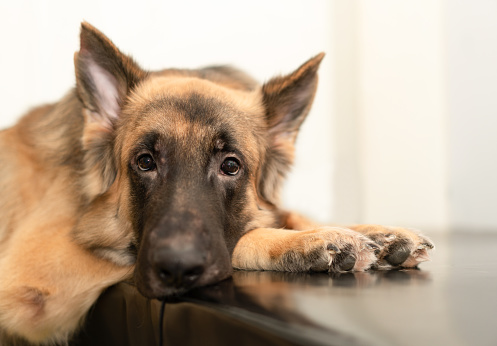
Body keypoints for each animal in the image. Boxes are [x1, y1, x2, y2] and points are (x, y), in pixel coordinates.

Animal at [0, 23, 432, 344]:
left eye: (230, 166)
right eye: (145, 162)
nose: (176, 268)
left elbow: (291, 213)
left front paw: (374, 232)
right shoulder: (34, 274)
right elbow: (246, 237)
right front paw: (304, 242)